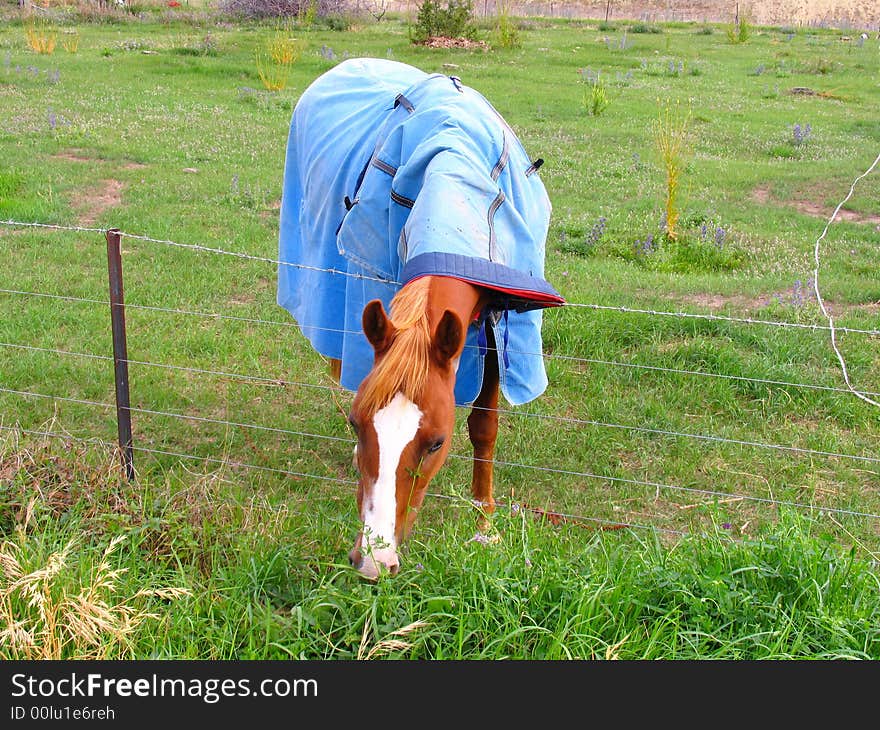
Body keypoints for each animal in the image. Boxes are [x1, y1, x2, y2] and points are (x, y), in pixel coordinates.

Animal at [276, 57, 564, 576]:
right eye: (358, 424)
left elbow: (484, 428)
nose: (374, 560)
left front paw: (484, 525)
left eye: (435, 442)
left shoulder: (494, 328)